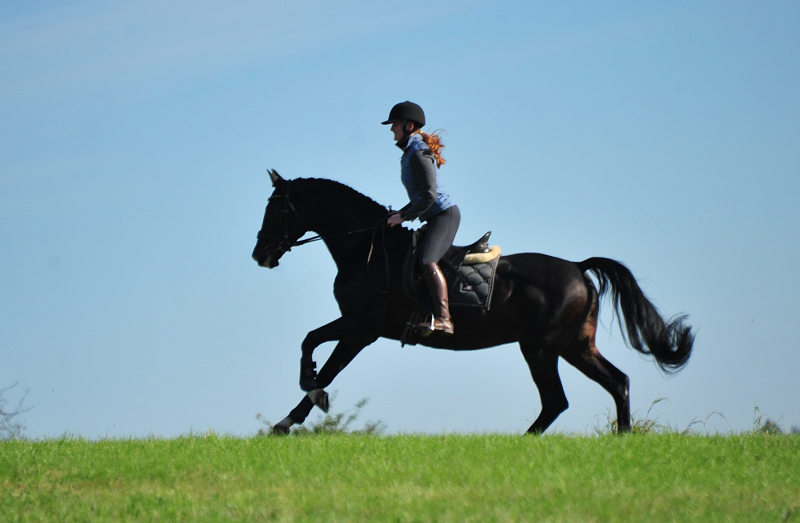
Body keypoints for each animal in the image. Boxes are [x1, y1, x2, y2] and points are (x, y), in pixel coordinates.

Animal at [252, 171, 692, 434]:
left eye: (274, 208)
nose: (260, 254)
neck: (367, 249)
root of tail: (578, 268)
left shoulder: (362, 328)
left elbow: (319, 355)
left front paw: (296, 411)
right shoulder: (357, 326)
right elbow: (314, 347)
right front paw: (303, 401)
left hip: (541, 348)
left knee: (557, 400)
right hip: (574, 346)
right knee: (616, 382)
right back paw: (622, 439)